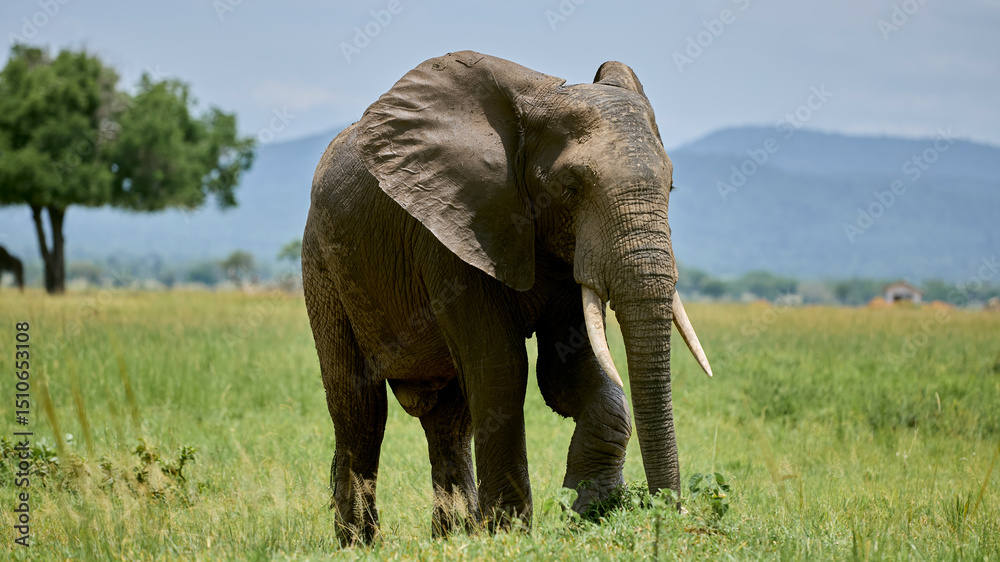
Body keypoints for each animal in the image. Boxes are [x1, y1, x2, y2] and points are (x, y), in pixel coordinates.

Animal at [302, 51, 712, 544]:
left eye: (670, 187)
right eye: (571, 187)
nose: (669, 517)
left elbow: (566, 374)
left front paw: (591, 511)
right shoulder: (453, 230)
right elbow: (501, 368)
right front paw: (509, 533)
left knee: (449, 419)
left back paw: (453, 537)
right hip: (323, 264)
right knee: (359, 408)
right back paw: (360, 542)